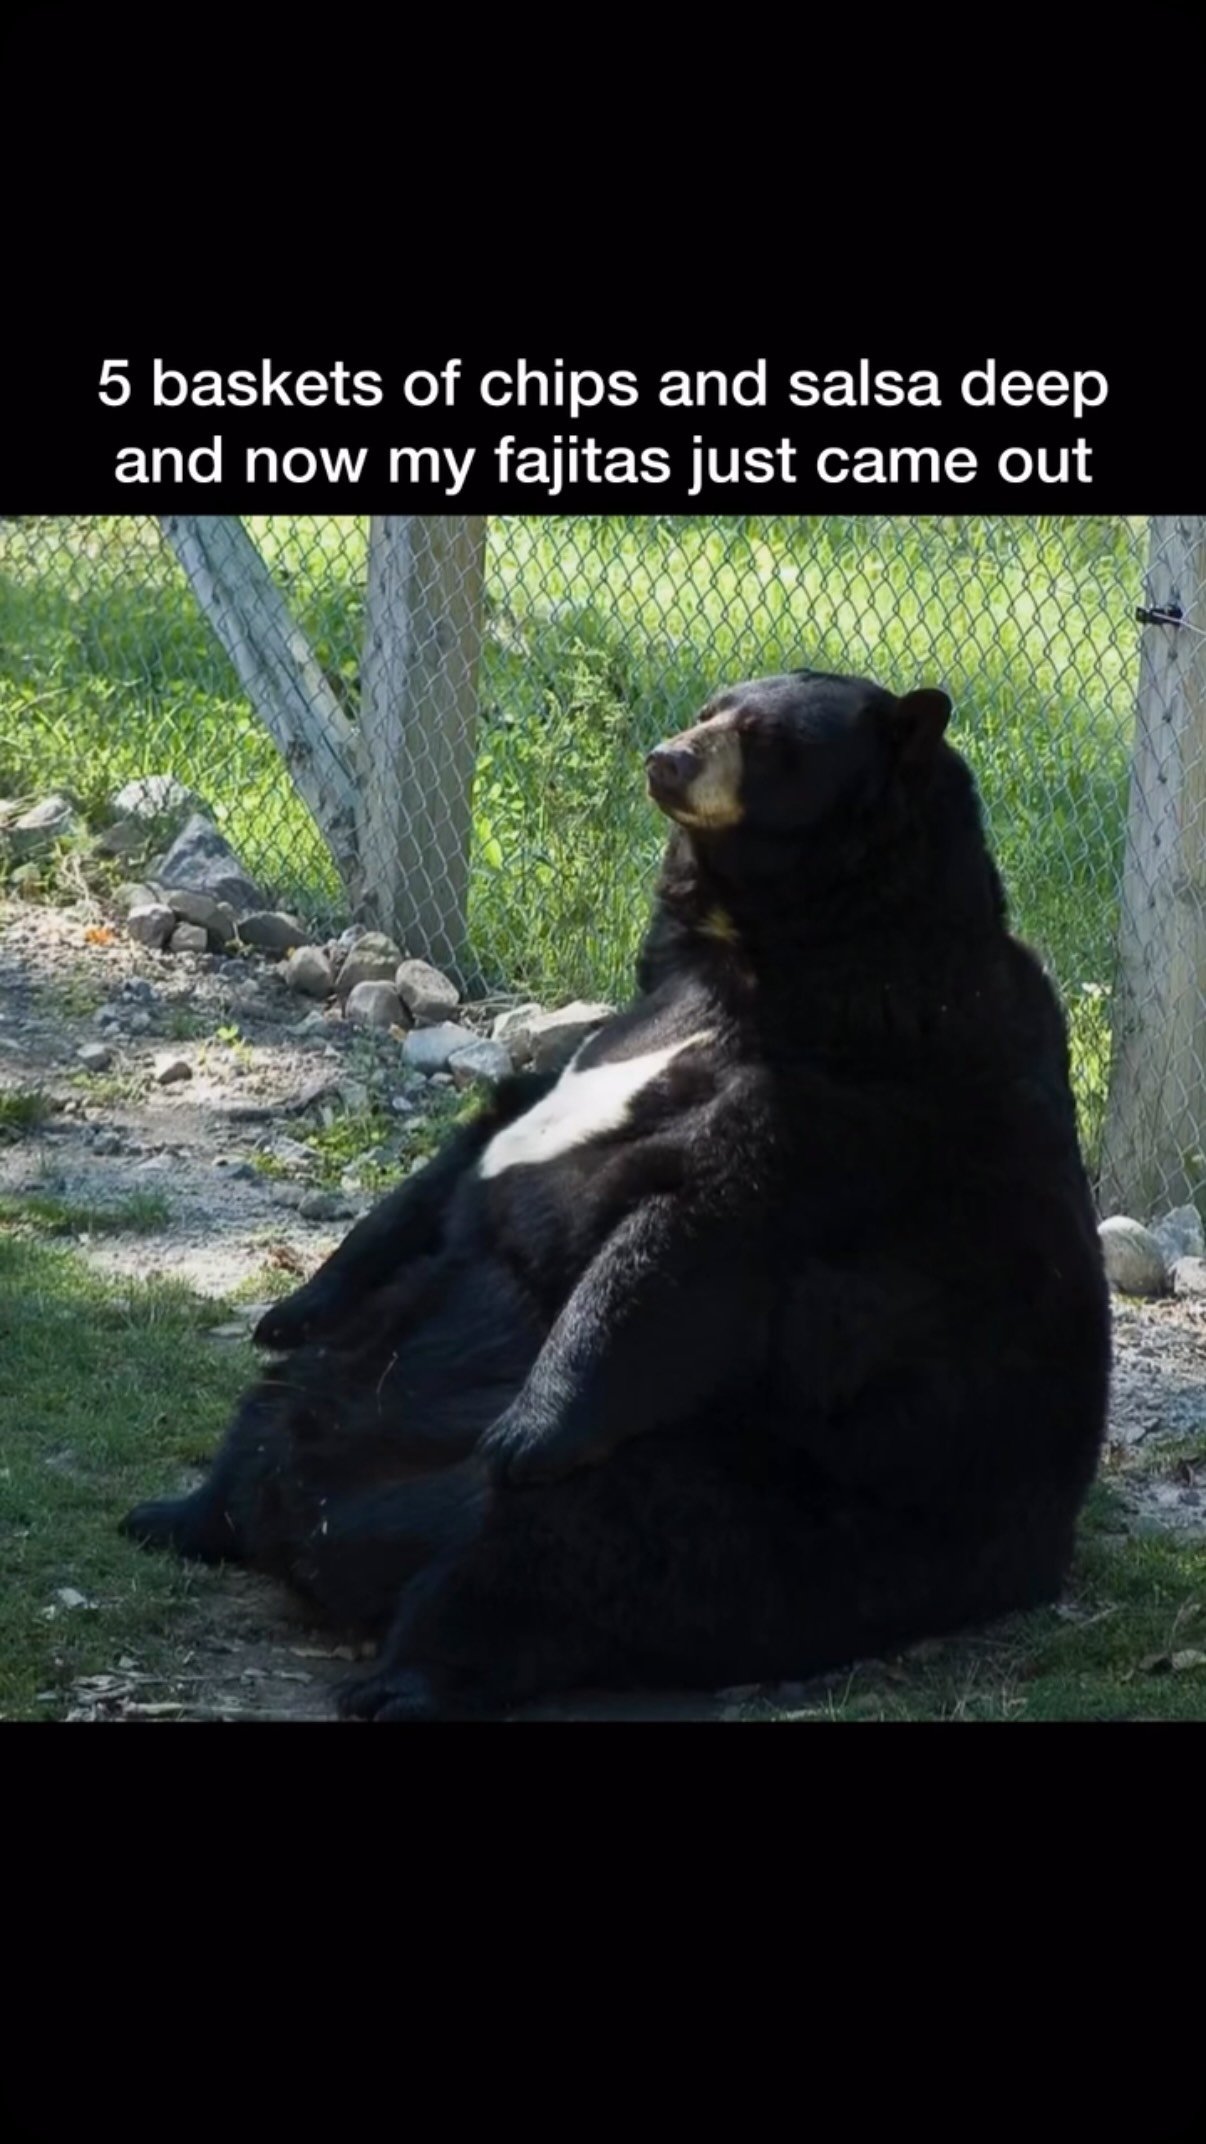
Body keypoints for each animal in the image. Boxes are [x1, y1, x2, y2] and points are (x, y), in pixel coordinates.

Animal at [122, 667, 1111, 1720]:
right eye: (714, 704)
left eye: (764, 738)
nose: (668, 758)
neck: (761, 962)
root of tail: (326, 1541)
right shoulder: (626, 1024)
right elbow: (472, 1149)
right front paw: (290, 1305)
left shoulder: (864, 1106)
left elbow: (688, 1239)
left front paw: (527, 1427)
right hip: (356, 1372)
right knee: (270, 1417)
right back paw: (177, 1512)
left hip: (749, 1503)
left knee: (545, 1558)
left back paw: (404, 1674)